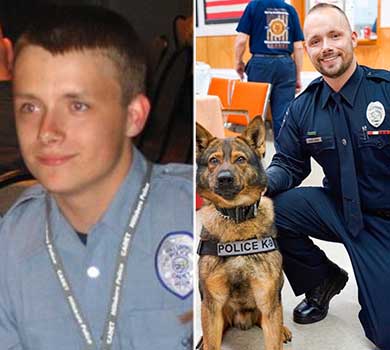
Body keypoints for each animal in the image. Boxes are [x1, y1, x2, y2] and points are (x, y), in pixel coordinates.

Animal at [197, 116, 290, 348]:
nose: (224, 178)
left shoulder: (268, 302)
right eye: (213, 161)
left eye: (240, 159)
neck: (236, 216)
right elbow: (211, 343)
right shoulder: (212, 305)